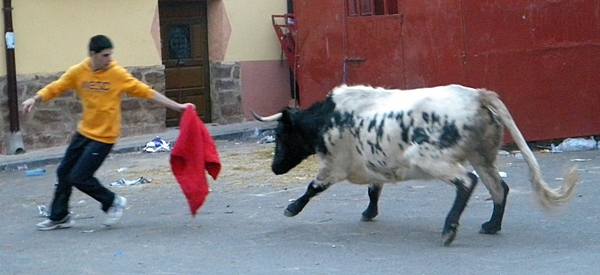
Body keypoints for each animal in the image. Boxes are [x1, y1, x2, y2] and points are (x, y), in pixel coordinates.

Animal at [252, 84, 576, 248]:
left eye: (280, 134)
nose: (275, 168)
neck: (328, 117)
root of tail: (477, 95)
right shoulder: (373, 163)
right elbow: (374, 191)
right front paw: (369, 213)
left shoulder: (335, 165)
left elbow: (313, 187)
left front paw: (291, 208)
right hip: (482, 155)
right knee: (499, 187)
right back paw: (491, 225)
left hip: (432, 158)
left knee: (467, 181)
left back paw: (449, 230)